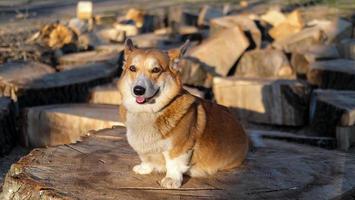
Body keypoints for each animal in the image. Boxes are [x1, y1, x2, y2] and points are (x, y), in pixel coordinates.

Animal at [118, 38, 249, 188]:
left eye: (156, 70)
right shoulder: (144, 150)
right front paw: (144, 168)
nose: (138, 90)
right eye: (132, 68)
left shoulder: (179, 147)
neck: (147, 112)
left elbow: (173, 163)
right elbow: (146, 158)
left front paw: (171, 180)